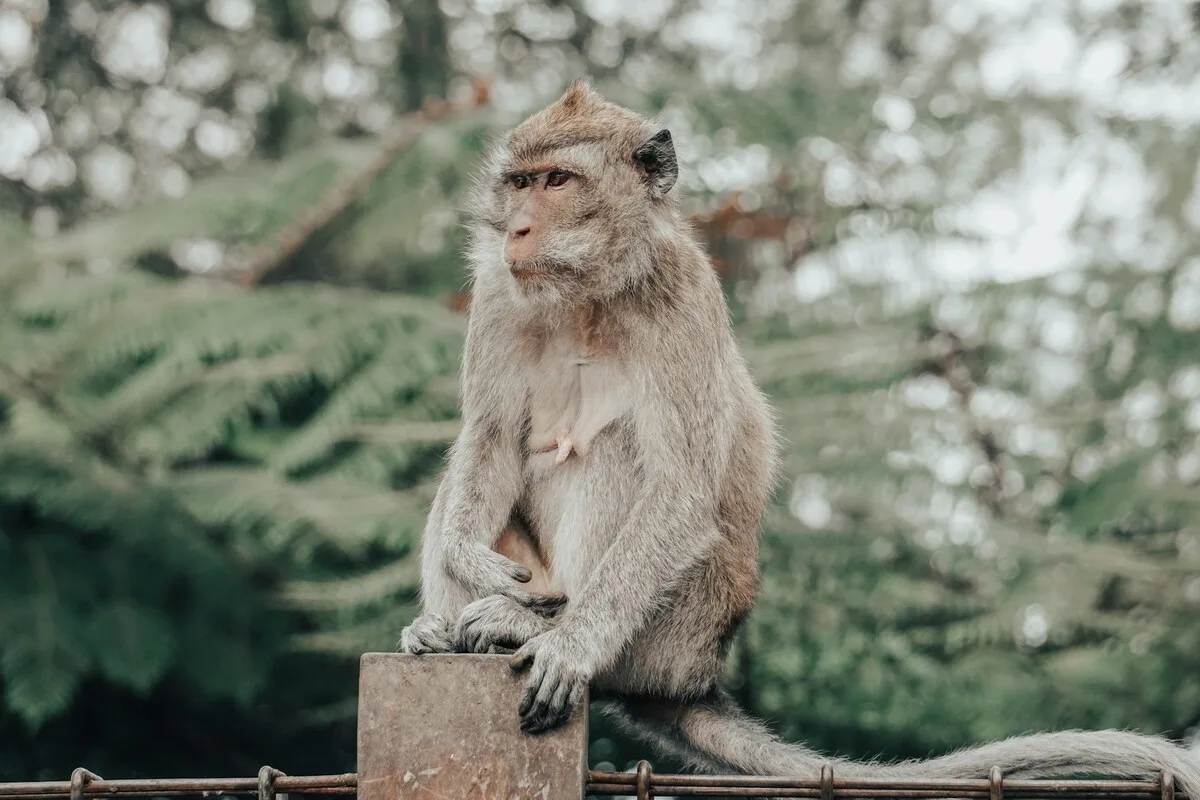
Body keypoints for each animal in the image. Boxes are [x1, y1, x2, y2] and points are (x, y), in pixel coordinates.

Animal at [398, 79, 1200, 796]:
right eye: (520, 183)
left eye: (559, 181)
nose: (517, 229)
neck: (590, 293)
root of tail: (691, 677)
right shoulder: (497, 294)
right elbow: (491, 439)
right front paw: (466, 558)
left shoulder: (681, 293)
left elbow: (680, 489)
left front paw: (570, 645)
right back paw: (445, 629)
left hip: (673, 629)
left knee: (628, 453)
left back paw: (540, 621)